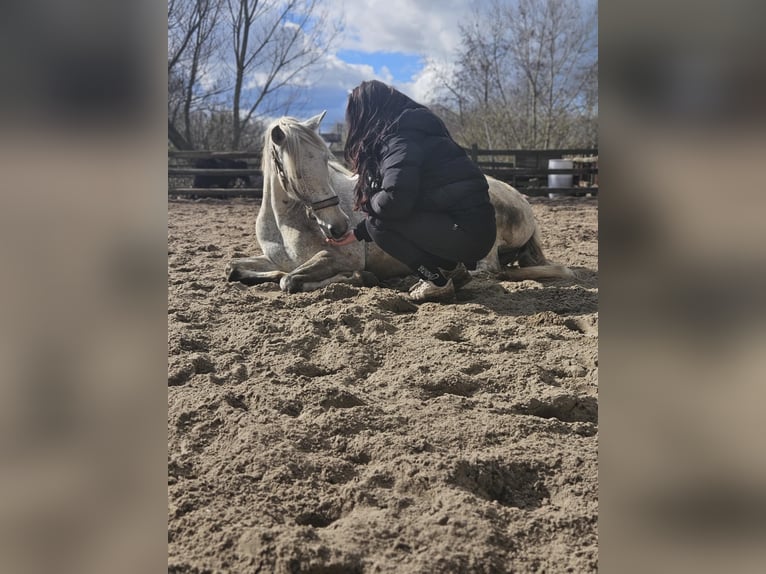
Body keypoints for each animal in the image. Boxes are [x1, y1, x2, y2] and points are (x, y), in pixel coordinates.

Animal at [225, 112, 572, 292]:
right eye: (296, 171)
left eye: (325, 160)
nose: (338, 227)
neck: (285, 224)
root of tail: (522, 201)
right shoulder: (274, 258)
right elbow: (237, 269)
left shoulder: (342, 258)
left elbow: (290, 280)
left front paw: (360, 278)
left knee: (487, 272)